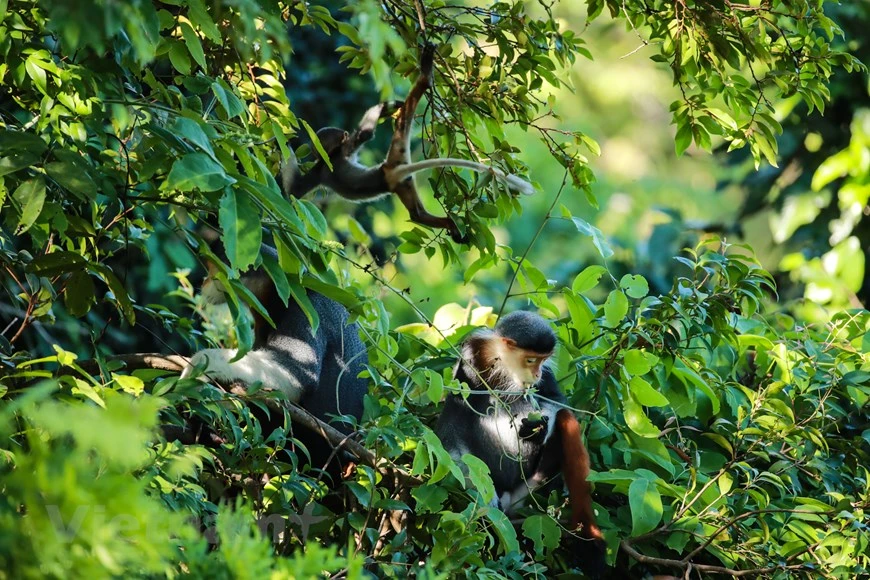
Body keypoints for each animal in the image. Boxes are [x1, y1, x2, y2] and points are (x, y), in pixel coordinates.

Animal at [280, 44, 540, 244]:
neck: (331, 156)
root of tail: (393, 170)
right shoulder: (335, 157)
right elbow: (363, 136)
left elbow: (294, 190)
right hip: (398, 154)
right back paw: (424, 76)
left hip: (401, 175)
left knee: (416, 213)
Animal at [436, 310, 608, 572]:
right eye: (530, 360)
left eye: (542, 361)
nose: (536, 373)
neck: (505, 369)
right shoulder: (468, 361)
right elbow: (451, 425)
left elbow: (557, 402)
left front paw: (538, 430)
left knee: (566, 419)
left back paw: (588, 539)